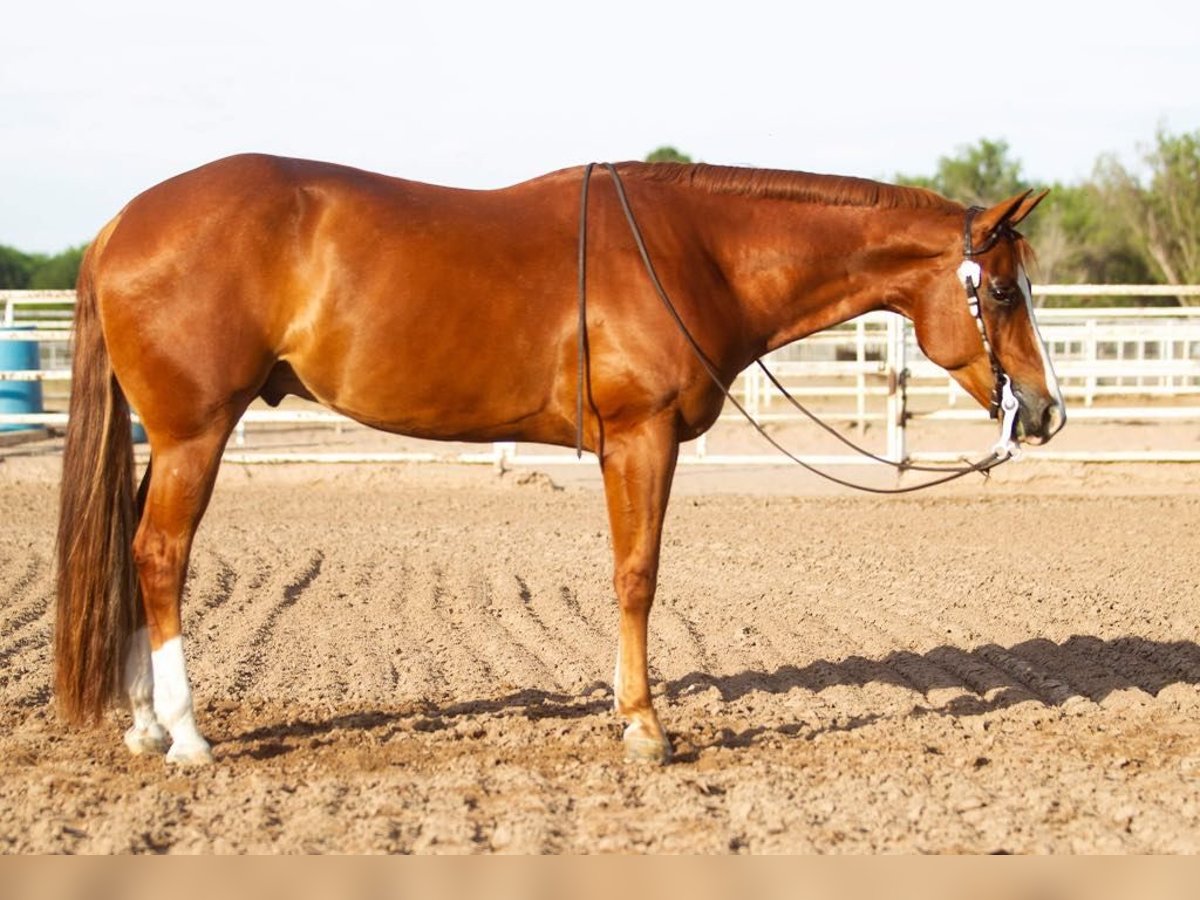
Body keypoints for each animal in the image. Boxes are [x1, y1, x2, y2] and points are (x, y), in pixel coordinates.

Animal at [55, 155, 1065, 765]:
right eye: (1001, 291)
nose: (1047, 411)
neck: (697, 250)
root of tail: (120, 223)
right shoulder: (640, 438)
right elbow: (636, 575)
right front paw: (645, 727)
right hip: (195, 434)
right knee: (159, 554)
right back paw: (187, 734)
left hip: (172, 440)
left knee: (133, 551)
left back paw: (144, 725)